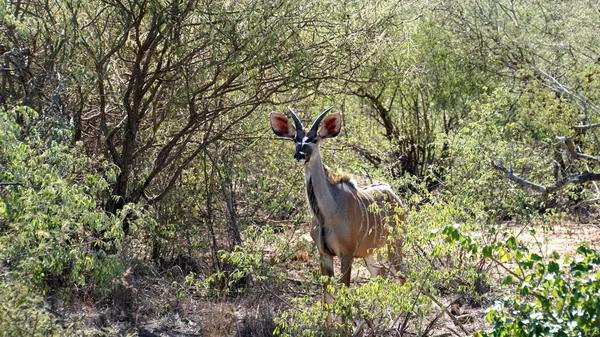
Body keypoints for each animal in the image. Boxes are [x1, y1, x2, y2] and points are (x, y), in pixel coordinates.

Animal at [270, 106, 404, 304]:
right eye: (295, 139)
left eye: (314, 139)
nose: (299, 155)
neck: (327, 212)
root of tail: (394, 194)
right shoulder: (324, 254)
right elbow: (327, 297)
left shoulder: (347, 254)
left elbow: (343, 294)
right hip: (371, 253)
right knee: (379, 274)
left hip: (395, 244)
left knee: (402, 278)